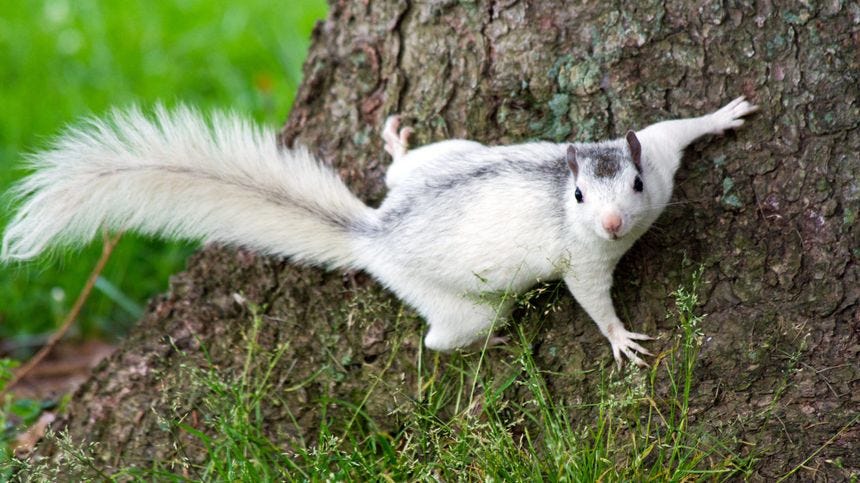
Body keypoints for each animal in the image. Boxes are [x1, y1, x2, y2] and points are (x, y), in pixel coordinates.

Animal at [1, 97, 757, 366]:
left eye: (634, 187)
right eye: (576, 195)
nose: (611, 221)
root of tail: (380, 235)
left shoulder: (654, 155)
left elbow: (675, 129)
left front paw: (723, 114)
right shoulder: (581, 260)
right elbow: (592, 299)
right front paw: (620, 337)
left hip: (450, 153)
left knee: (403, 168)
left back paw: (397, 147)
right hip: (458, 304)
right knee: (443, 336)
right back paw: (477, 339)